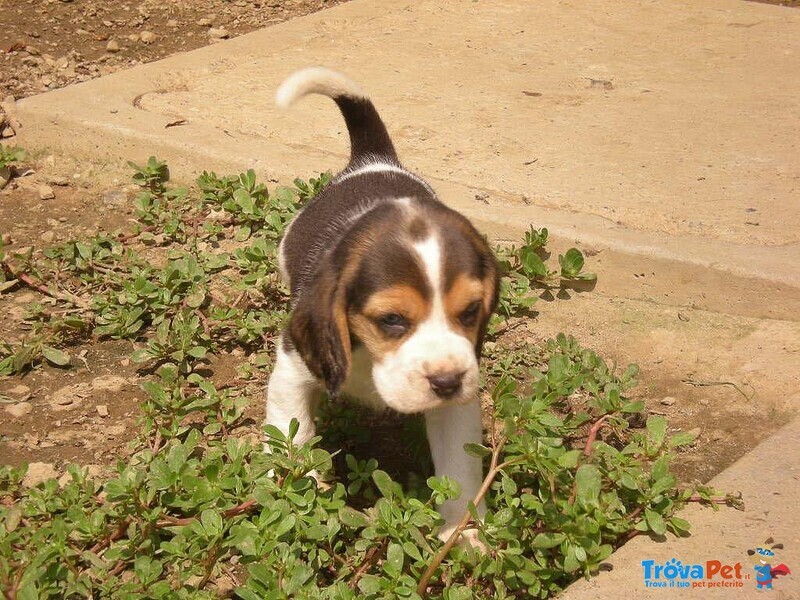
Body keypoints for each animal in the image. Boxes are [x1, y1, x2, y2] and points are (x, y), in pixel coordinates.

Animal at [266, 67, 496, 540]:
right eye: (391, 319)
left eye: (469, 313)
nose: (447, 382)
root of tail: (374, 159)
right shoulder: (292, 371)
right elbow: (292, 433)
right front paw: (299, 494)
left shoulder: (457, 408)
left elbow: (459, 473)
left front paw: (463, 537)